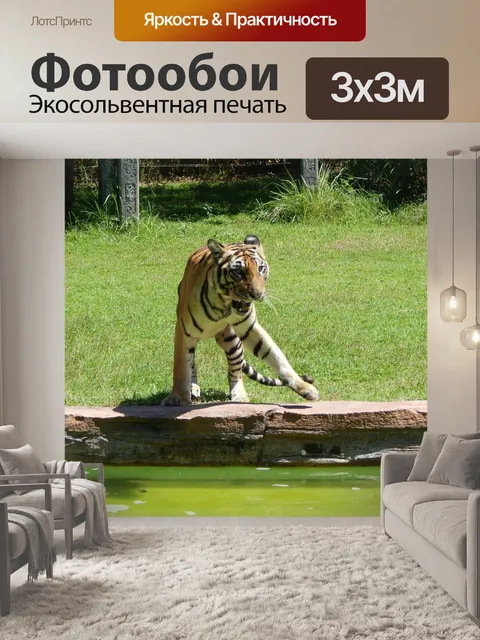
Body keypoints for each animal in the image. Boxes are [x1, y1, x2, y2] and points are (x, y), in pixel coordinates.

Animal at [161, 235, 319, 406]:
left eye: (261, 268)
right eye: (238, 272)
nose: (257, 294)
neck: (224, 304)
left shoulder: (249, 328)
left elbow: (277, 357)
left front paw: (306, 388)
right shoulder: (184, 332)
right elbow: (181, 368)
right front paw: (178, 398)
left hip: (232, 341)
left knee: (235, 372)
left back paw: (240, 396)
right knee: (192, 363)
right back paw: (194, 388)